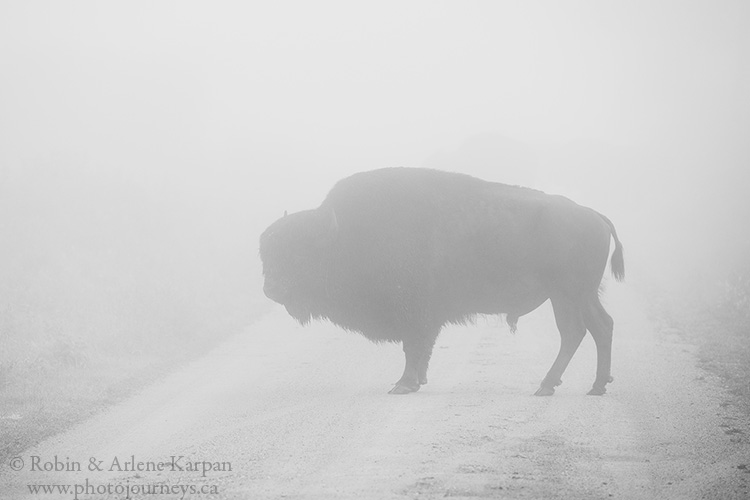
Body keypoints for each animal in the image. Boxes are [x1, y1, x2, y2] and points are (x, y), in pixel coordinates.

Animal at [262, 167, 624, 394]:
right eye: (267, 253)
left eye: (299, 253)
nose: (270, 289)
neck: (342, 234)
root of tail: (594, 215)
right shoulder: (425, 317)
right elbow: (422, 350)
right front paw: (418, 381)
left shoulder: (415, 314)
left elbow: (414, 348)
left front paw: (404, 384)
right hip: (583, 295)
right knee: (602, 326)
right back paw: (596, 386)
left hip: (566, 295)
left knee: (574, 333)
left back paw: (546, 385)